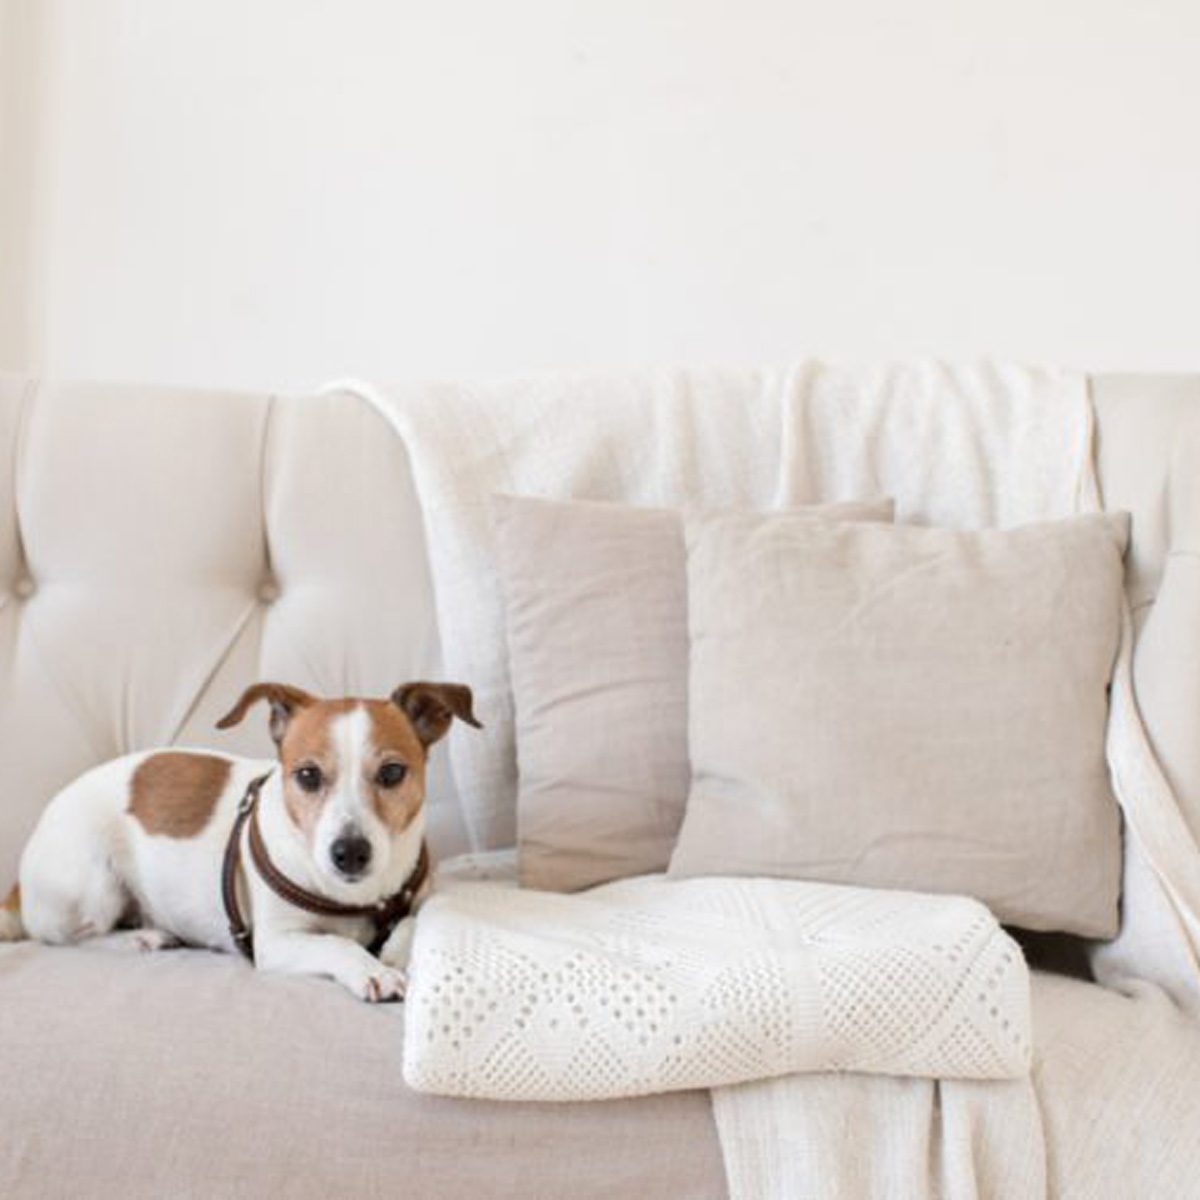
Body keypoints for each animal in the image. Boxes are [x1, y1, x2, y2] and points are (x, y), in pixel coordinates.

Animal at [1, 681, 477, 998]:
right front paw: (370, 969)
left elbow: (416, 917)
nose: (350, 853)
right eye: (308, 775)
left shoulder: (417, 895)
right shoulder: (276, 943)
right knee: (61, 938)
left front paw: (394, 947)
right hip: (94, 887)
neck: (360, 898)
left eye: (393, 773)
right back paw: (140, 938)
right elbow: (335, 943)